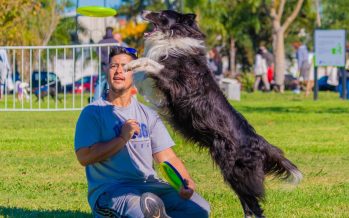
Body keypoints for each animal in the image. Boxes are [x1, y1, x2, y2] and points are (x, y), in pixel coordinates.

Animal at [125, 10, 302, 218]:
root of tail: (260, 142)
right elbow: (144, 73)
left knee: (255, 205)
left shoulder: (175, 84)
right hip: (232, 173)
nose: (143, 12)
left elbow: (151, 63)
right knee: (248, 203)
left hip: (238, 172)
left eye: (161, 14)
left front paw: (131, 65)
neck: (174, 37)